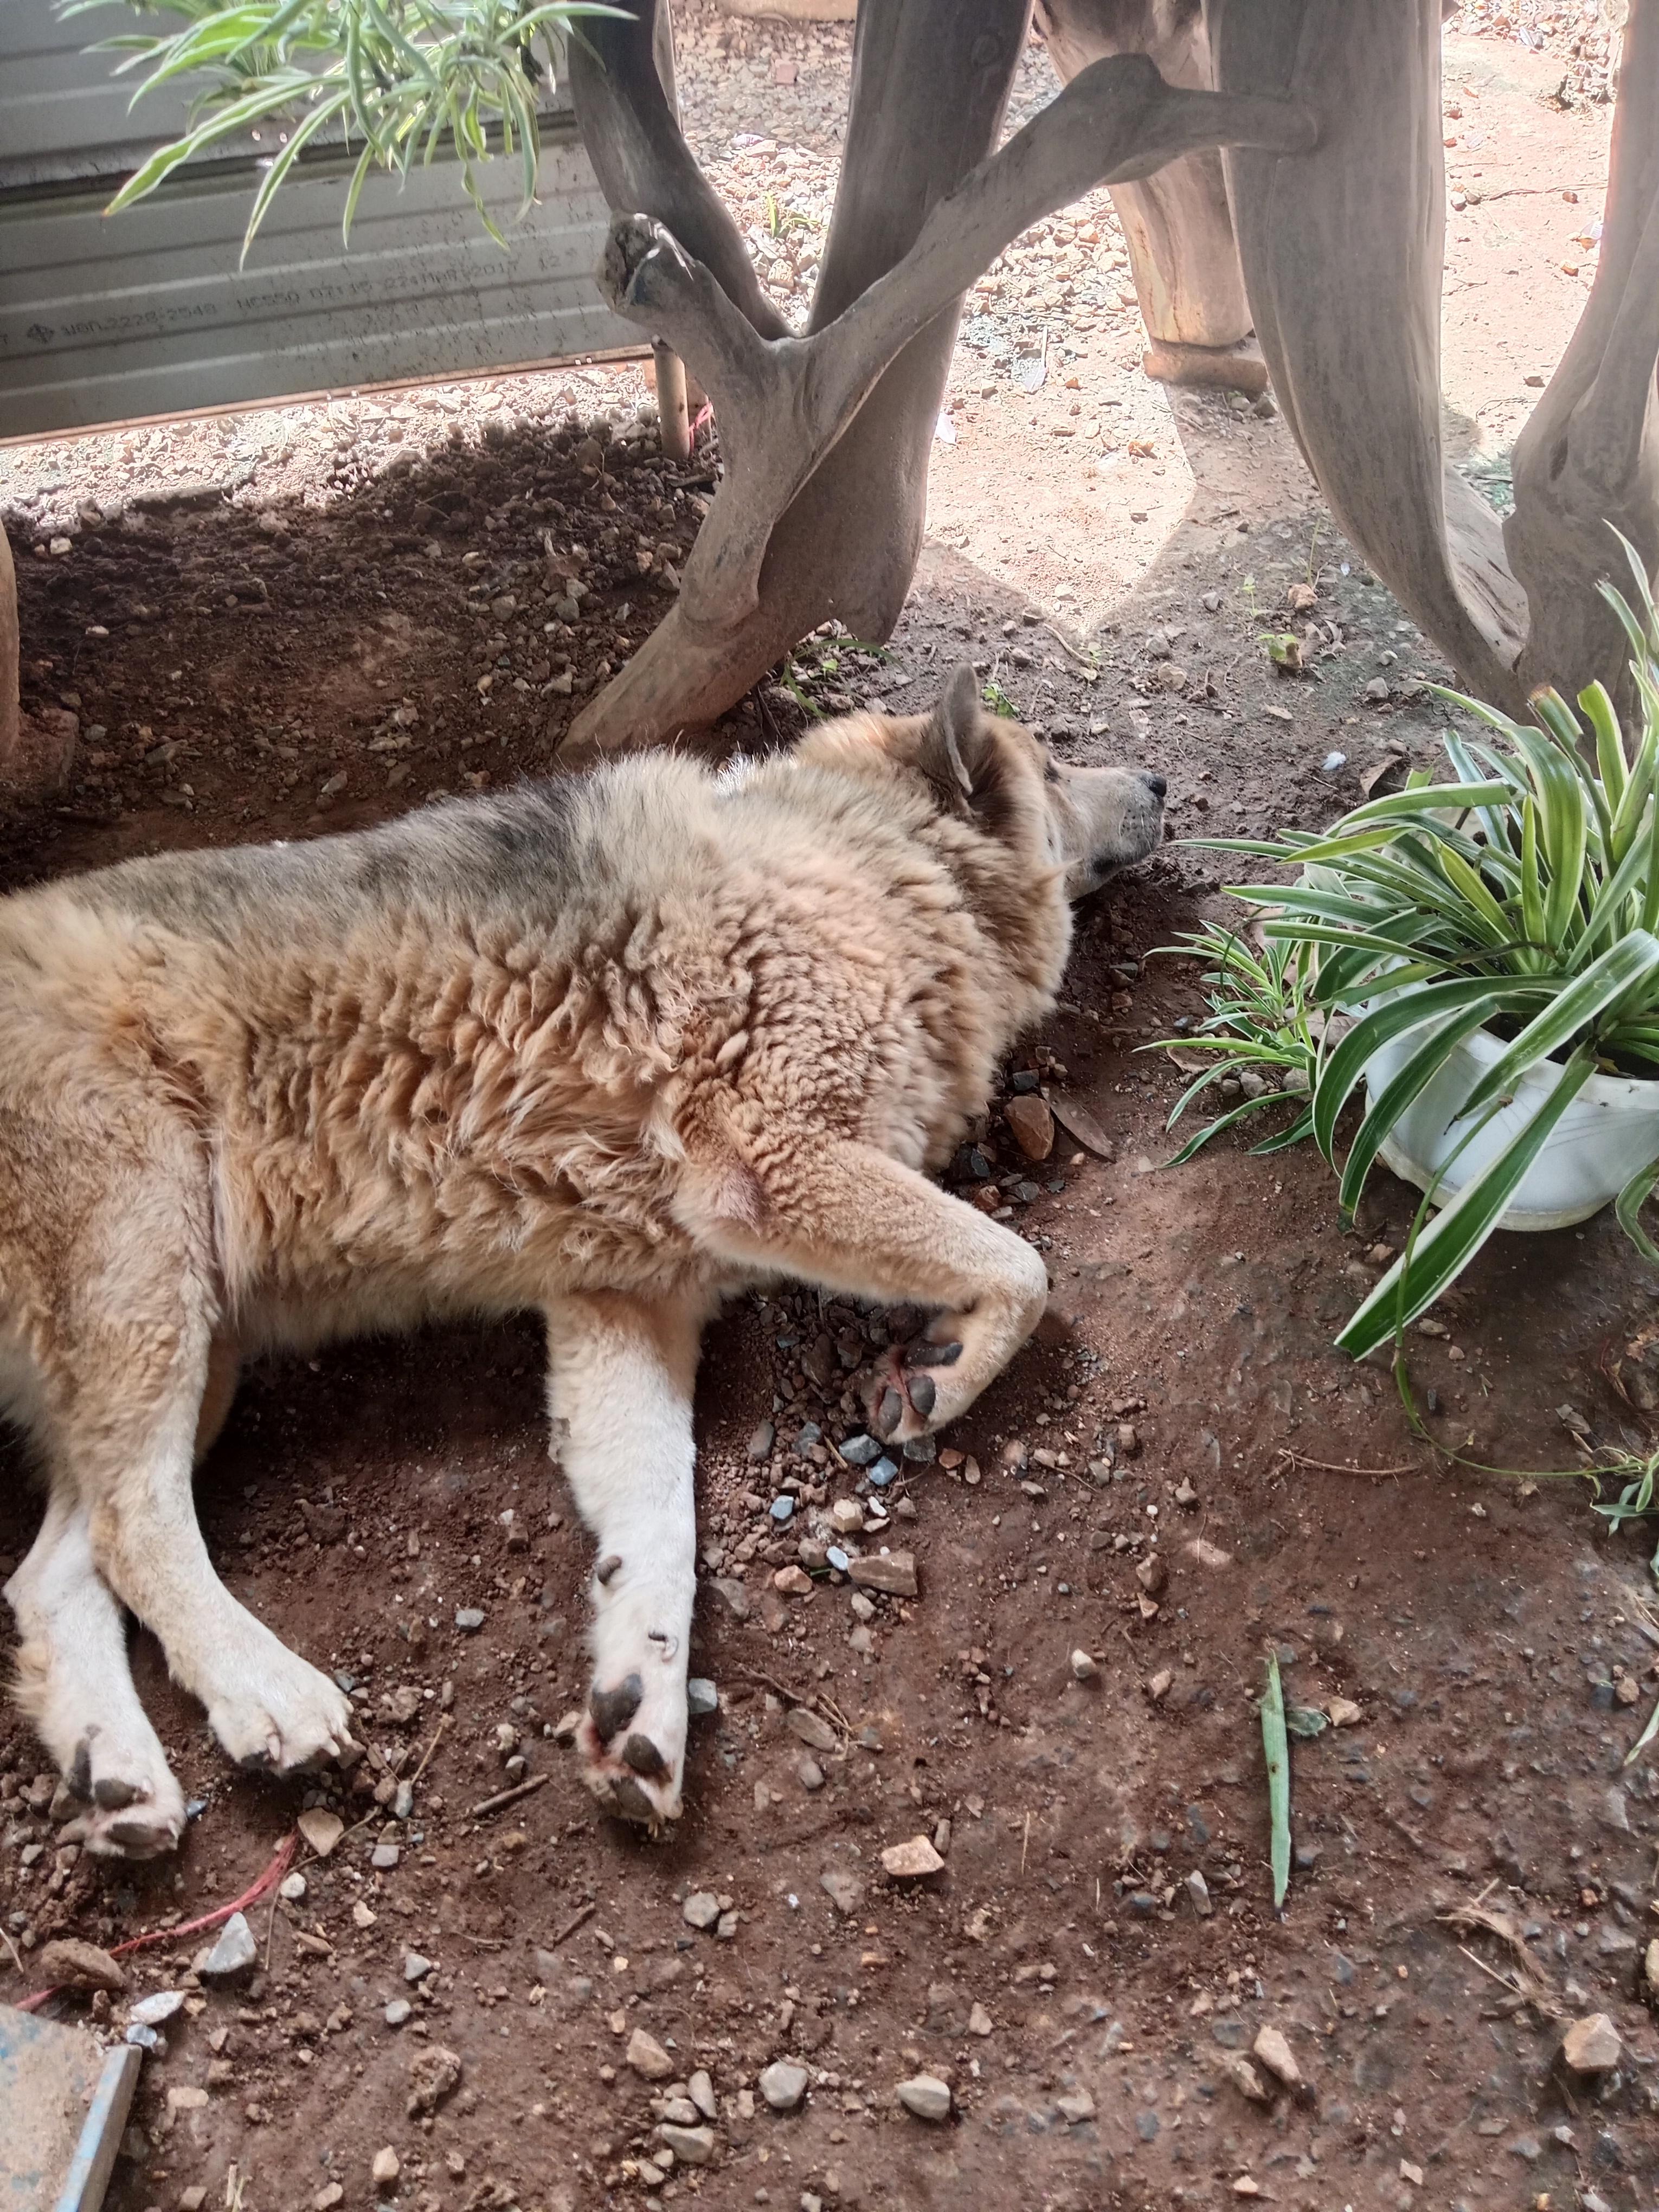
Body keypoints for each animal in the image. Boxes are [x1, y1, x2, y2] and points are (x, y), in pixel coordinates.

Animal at [0, 665, 1163, 1853]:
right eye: (1055, 767)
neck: (873, 861)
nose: (1163, 782)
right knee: (135, 1529)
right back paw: (264, 1692)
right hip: (149, 1270)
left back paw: (117, 1772)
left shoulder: (625, 1301)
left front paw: (640, 1701)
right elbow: (1021, 1266)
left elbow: (659, 1523)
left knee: (51, 1576)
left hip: (193, 1340)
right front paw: (948, 1371)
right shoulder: (772, 1162)